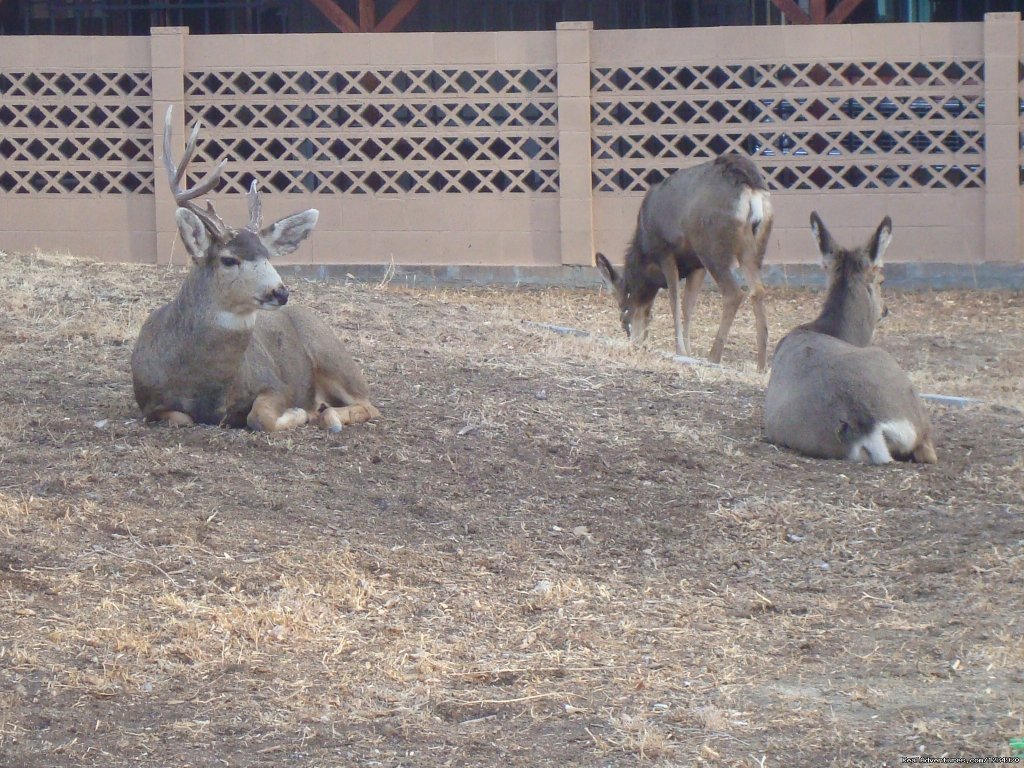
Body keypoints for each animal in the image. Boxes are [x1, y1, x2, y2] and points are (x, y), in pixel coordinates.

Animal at [131, 107, 380, 434]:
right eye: (228, 259)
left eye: (267, 255)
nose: (280, 291)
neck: (207, 387)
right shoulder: (149, 404)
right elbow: (180, 418)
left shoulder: (275, 384)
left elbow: (260, 417)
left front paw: (300, 413)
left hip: (334, 356)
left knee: (369, 404)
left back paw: (327, 414)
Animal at [593, 152, 774, 370]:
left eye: (623, 317)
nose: (635, 343)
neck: (644, 255)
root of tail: (751, 186)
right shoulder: (696, 265)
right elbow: (688, 305)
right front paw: (688, 351)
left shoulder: (665, 251)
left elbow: (674, 300)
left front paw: (680, 350)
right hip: (753, 250)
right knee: (758, 291)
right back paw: (762, 366)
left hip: (711, 247)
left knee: (734, 293)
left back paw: (714, 356)